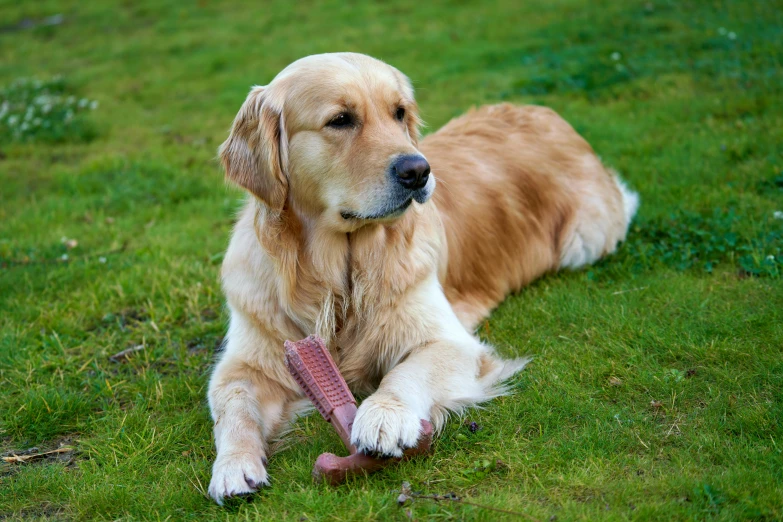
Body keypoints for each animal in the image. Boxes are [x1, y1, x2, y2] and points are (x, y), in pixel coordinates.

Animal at [207, 51, 636, 500]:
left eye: (399, 113)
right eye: (340, 120)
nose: (418, 170)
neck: (341, 272)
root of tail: (544, 111)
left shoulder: (452, 342)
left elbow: (406, 371)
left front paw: (383, 415)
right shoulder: (247, 360)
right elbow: (233, 403)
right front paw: (233, 465)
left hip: (585, 240)